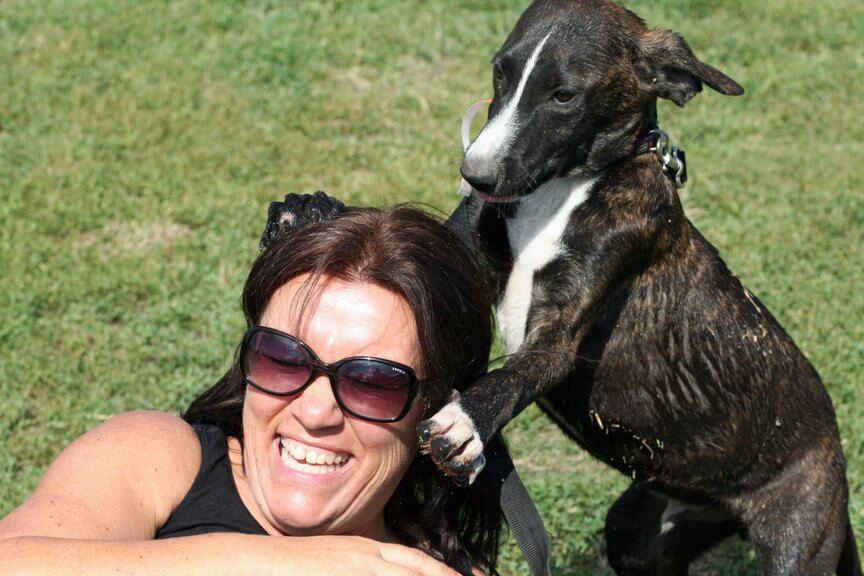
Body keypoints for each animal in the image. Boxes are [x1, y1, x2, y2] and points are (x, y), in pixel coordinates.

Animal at [411, 1, 861, 574]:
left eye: (563, 96)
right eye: (499, 74)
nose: (476, 175)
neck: (563, 191)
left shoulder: (561, 333)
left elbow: (514, 375)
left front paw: (464, 421)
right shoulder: (461, 248)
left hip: (797, 541)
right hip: (637, 533)